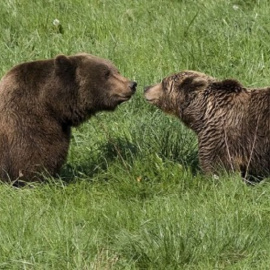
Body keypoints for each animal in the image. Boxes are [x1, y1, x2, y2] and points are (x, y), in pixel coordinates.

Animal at [0, 52, 137, 184]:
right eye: (106, 74)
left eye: (116, 70)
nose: (132, 84)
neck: (50, 104)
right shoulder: (26, 122)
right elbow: (34, 158)